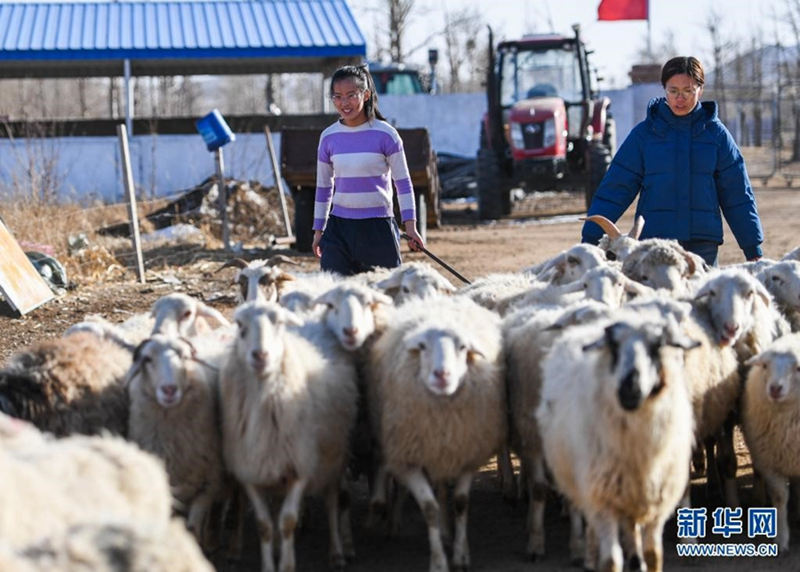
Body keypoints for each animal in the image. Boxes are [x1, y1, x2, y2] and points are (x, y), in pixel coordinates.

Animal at [217, 302, 358, 568]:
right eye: (240, 325)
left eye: (279, 324)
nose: (260, 355)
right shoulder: (250, 470)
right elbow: (264, 525)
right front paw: (269, 562)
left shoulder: (301, 466)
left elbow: (288, 521)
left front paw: (287, 565)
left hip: (334, 455)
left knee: (333, 501)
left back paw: (337, 551)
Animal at [366, 298, 504, 568]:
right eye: (422, 346)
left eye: (463, 347)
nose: (442, 375)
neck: (443, 418)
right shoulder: (408, 459)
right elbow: (429, 508)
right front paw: (439, 561)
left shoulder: (467, 454)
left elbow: (460, 503)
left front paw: (460, 554)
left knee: (441, 486)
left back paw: (448, 532)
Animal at [536, 316, 700, 568]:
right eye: (613, 346)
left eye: (657, 345)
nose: (629, 387)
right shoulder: (603, 501)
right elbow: (611, 560)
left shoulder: (657, 503)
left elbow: (653, 555)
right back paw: (589, 557)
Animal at [740, 332, 800, 552]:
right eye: (765, 366)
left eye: (798, 368)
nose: (775, 388)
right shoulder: (769, 461)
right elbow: (779, 497)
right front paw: (781, 539)